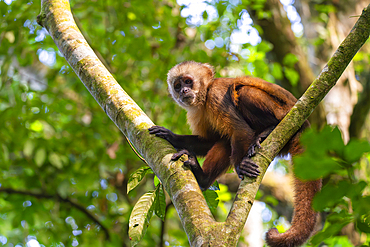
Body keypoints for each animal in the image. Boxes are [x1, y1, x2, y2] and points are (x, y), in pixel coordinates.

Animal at [147, 60, 320, 247]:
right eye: (177, 86)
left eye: (188, 81)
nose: (183, 91)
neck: (204, 96)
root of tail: (305, 126)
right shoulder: (197, 112)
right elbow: (211, 141)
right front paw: (170, 136)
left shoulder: (216, 95)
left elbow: (239, 129)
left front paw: (240, 166)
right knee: (225, 142)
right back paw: (203, 178)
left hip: (284, 114)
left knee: (242, 91)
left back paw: (269, 128)